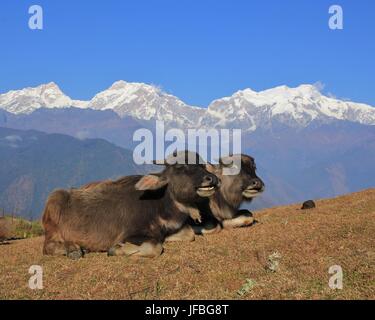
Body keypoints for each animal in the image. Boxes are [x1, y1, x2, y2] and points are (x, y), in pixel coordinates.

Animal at [42, 151, 219, 258]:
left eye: (202, 165)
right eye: (181, 166)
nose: (212, 178)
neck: (160, 205)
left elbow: (189, 234)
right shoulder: (130, 235)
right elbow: (154, 248)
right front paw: (116, 249)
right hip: (53, 211)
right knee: (48, 247)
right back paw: (73, 250)